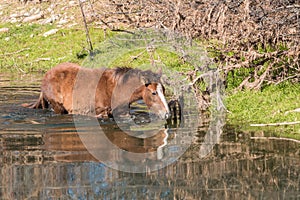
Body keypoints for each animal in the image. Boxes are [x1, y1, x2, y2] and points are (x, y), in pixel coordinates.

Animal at [22, 62, 170, 119]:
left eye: (163, 90)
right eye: (154, 93)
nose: (167, 114)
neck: (114, 89)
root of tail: (47, 75)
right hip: (58, 107)